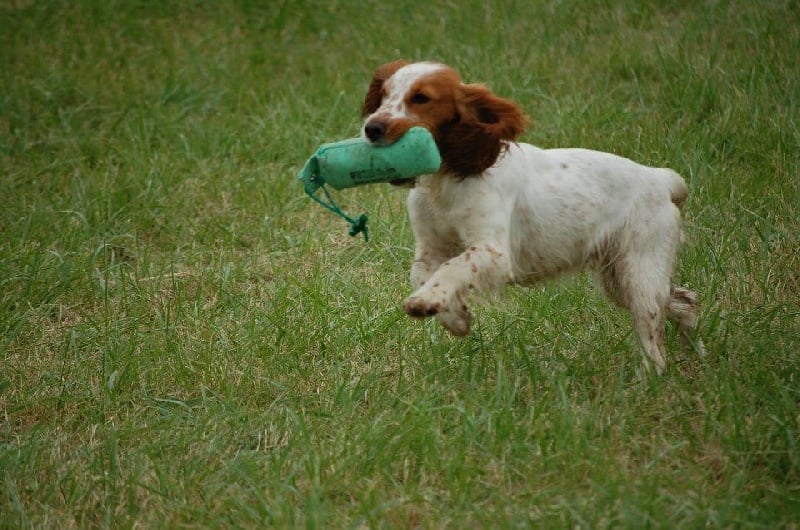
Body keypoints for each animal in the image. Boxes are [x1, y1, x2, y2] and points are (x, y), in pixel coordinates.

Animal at [360, 60, 704, 372]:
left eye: (421, 98)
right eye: (383, 95)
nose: (371, 128)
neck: (449, 175)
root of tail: (661, 178)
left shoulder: (494, 252)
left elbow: (452, 266)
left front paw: (426, 303)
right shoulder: (430, 247)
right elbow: (422, 274)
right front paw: (454, 316)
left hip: (640, 274)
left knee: (655, 343)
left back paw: (650, 381)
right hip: (619, 278)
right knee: (686, 302)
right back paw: (695, 357)